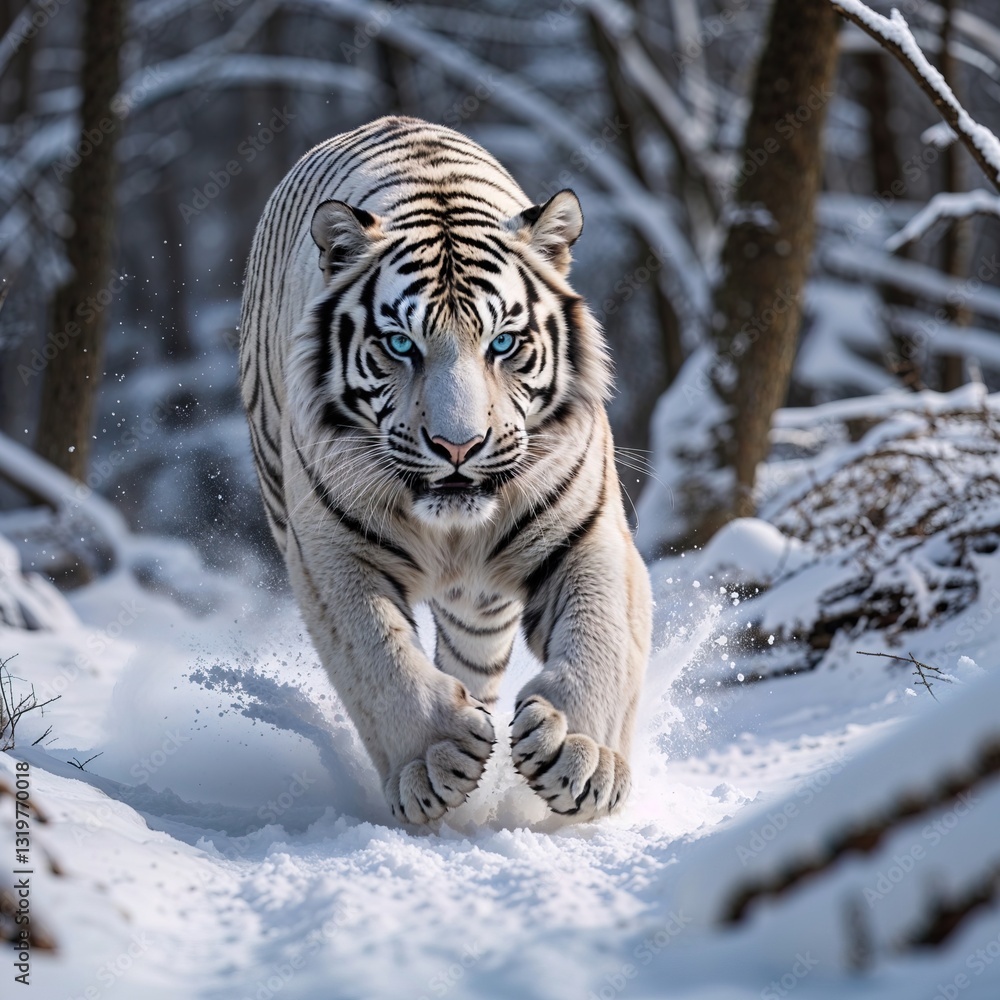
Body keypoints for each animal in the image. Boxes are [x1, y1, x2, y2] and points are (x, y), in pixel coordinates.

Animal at [239, 116, 651, 825]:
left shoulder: (589, 534)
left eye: (504, 343)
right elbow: (375, 655)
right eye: (400, 344)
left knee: (477, 659)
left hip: (481, 608)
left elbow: (604, 635)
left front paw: (581, 758)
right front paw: (436, 761)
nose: (458, 446)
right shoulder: (329, 551)